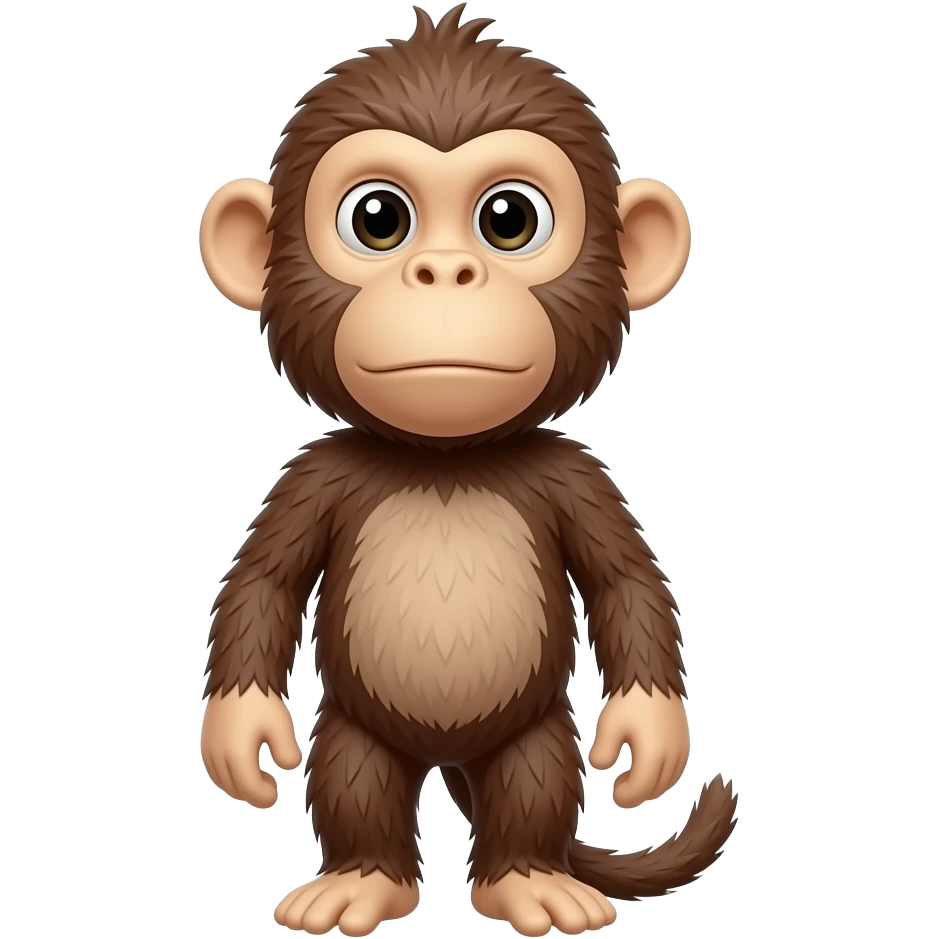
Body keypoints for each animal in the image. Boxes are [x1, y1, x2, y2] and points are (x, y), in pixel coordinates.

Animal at [198, 5, 735, 937]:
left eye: (509, 220)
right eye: (378, 219)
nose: (445, 271)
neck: (444, 458)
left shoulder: (574, 474)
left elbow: (626, 579)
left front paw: (650, 734)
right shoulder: (314, 474)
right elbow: (263, 580)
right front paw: (239, 732)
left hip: (533, 732)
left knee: (534, 779)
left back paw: (528, 880)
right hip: (356, 731)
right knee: (356, 778)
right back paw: (361, 881)